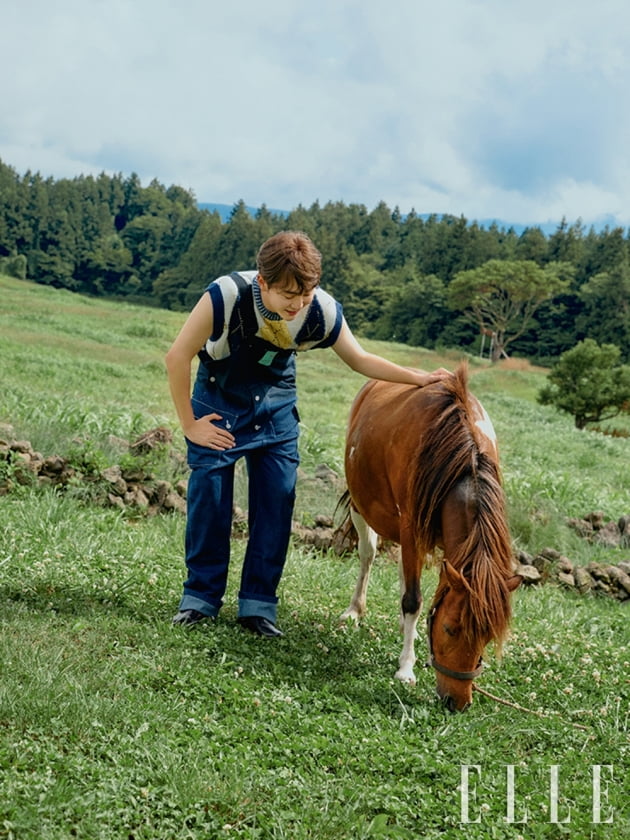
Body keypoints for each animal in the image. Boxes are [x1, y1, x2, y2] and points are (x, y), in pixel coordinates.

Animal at [340, 364, 524, 712]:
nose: (457, 702)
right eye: (450, 630)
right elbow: (413, 600)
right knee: (368, 555)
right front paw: (406, 667)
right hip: (361, 506)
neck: (463, 460)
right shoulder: (412, 527)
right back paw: (356, 609)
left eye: (487, 638)